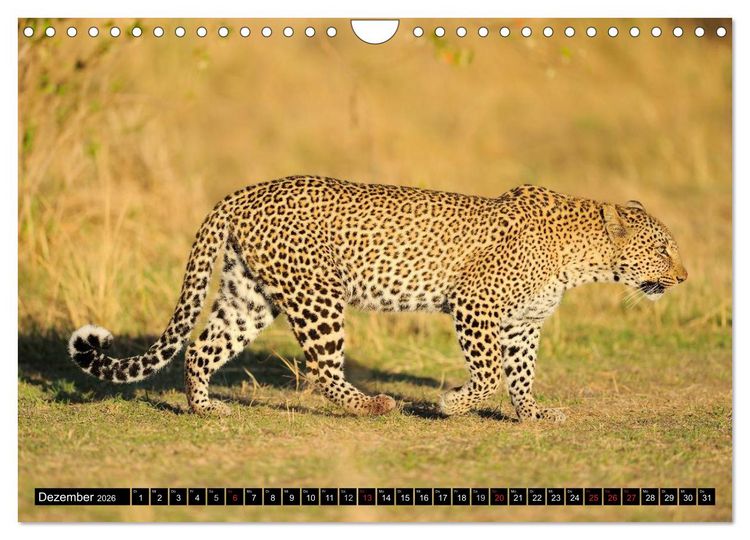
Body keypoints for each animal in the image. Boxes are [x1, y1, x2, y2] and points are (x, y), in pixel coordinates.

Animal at [68, 176, 688, 422]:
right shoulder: (475, 305)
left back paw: (204, 408)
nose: (683, 278)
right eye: (664, 248)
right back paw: (373, 405)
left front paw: (534, 414)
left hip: (251, 294)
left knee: (201, 348)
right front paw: (450, 405)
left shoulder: (523, 324)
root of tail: (243, 192)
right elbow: (489, 374)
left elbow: (520, 374)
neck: (584, 260)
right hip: (317, 295)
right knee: (323, 370)